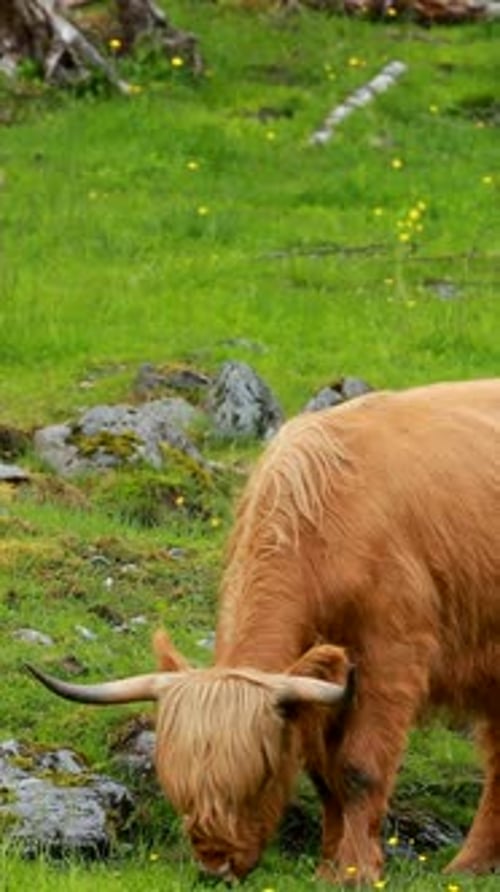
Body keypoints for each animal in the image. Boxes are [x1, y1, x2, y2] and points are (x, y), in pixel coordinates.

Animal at [27, 378, 500, 886]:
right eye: (179, 789)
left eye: (260, 777)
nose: (216, 865)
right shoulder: (318, 685)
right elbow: (326, 776)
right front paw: (328, 866)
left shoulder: (392, 656)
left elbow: (359, 769)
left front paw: (354, 870)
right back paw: (473, 864)